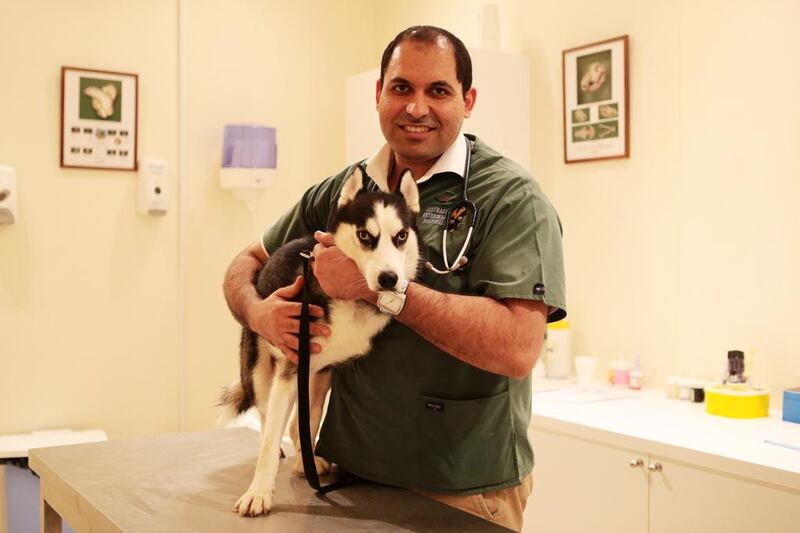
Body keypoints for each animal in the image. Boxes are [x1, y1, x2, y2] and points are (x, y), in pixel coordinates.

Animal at [219, 166, 418, 516]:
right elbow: (270, 440)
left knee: (298, 423)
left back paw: (306, 458)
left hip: (317, 376)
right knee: (266, 414)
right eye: (365, 236)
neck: (354, 302)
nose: (389, 279)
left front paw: (306, 462)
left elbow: (307, 423)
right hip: (261, 371)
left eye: (401, 237)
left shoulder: (316, 372)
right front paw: (259, 492)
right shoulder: (291, 367)